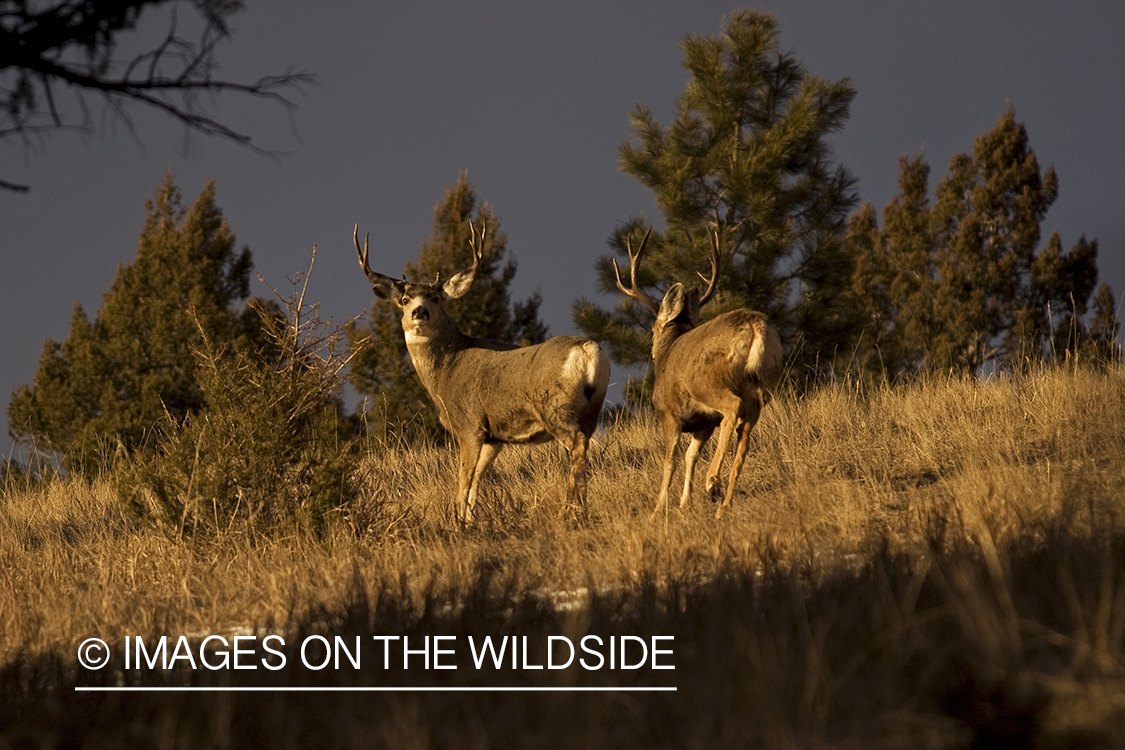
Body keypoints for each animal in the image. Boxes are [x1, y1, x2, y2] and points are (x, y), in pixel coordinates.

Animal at [354, 221, 610, 525]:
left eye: (436, 298)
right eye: (404, 299)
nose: (419, 312)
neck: (444, 372)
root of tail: (587, 349)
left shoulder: (469, 424)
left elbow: (463, 478)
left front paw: (457, 523)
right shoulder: (493, 437)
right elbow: (476, 480)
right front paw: (470, 521)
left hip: (555, 408)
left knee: (577, 444)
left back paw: (568, 511)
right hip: (592, 410)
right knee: (583, 445)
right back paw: (578, 508)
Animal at [614, 227, 783, 519]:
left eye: (652, 329)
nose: (652, 352)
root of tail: (755, 325)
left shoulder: (669, 414)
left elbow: (670, 460)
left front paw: (659, 508)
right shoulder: (703, 423)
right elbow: (690, 456)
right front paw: (684, 503)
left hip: (709, 383)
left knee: (732, 407)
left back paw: (712, 481)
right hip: (761, 388)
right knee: (745, 434)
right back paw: (723, 504)